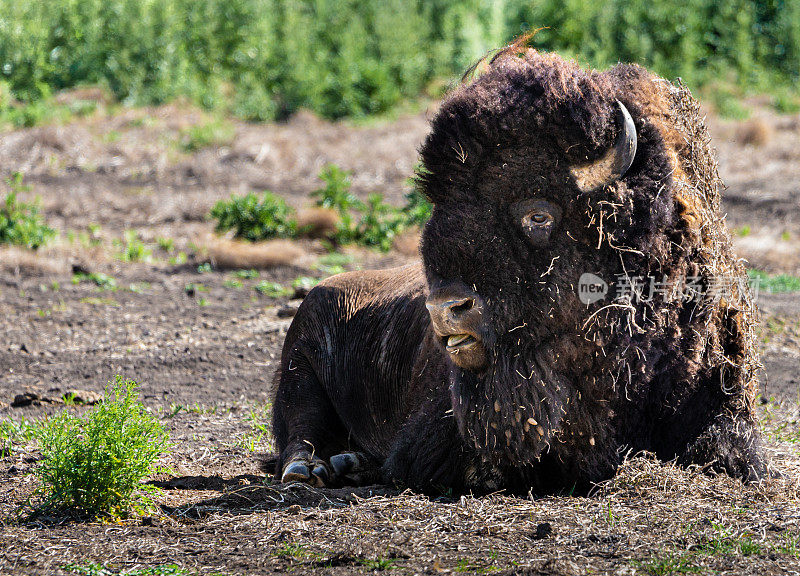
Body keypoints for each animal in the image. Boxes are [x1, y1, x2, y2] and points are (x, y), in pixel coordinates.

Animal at [272, 46, 772, 496]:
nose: (446, 308)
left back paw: (350, 463)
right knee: (299, 430)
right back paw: (313, 470)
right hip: (300, 364)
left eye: (538, 214)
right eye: (439, 210)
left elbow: (731, 455)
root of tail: (324, 287)